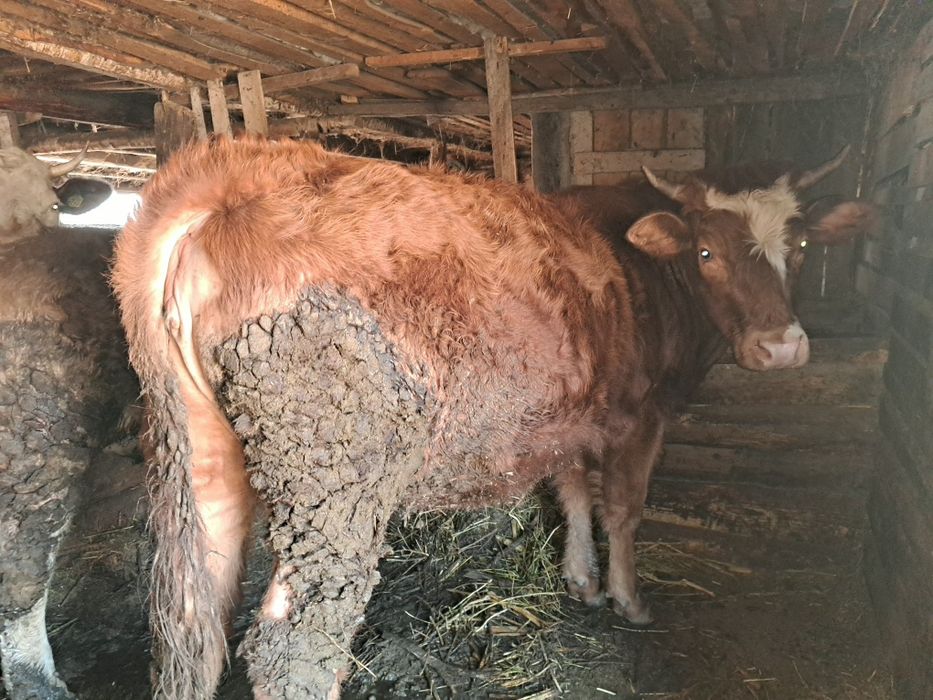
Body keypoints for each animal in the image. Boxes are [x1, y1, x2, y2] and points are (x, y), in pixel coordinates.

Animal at [109, 136, 874, 699]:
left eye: (800, 248)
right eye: (707, 252)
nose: (782, 347)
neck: (640, 274)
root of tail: (241, 169)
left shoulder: (572, 414)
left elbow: (573, 493)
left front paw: (580, 581)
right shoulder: (640, 415)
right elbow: (624, 509)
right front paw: (627, 600)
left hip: (200, 457)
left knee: (192, 624)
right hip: (334, 482)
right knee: (292, 647)